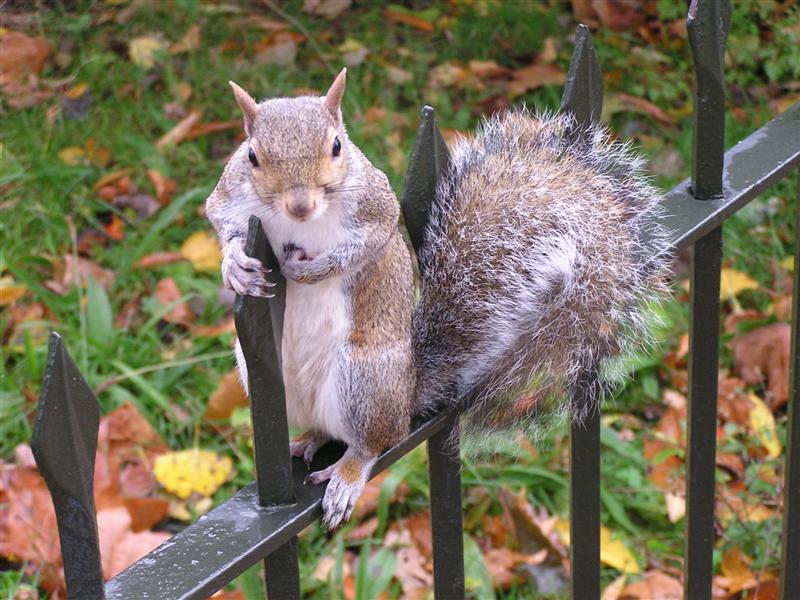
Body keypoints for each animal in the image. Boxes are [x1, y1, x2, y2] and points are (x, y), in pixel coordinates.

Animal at [206, 70, 668, 528]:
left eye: (336, 146)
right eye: (252, 156)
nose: (300, 205)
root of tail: (408, 390)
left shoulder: (375, 204)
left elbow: (367, 242)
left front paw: (313, 270)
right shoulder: (231, 196)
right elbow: (220, 217)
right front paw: (234, 264)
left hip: (366, 376)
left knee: (375, 442)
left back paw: (349, 474)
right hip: (263, 372)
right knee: (328, 430)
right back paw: (308, 440)